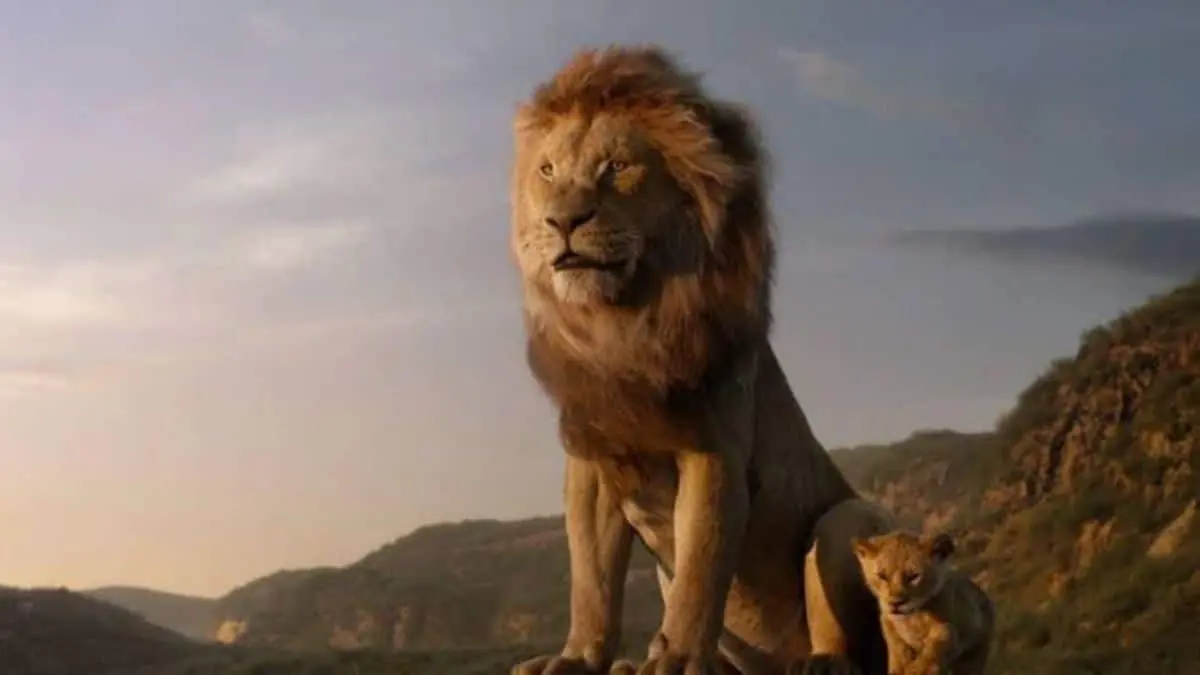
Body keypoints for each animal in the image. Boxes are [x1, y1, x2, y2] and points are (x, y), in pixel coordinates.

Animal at [508, 45, 897, 675]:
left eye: (616, 166)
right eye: (547, 172)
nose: (562, 221)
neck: (622, 325)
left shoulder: (712, 449)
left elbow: (701, 568)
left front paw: (677, 659)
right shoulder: (593, 461)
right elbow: (592, 581)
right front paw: (577, 658)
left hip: (846, 521)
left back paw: (817, 662)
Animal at [851, 531, 994, 675]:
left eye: (913, 576)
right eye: (882, 576)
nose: (896, 603)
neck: (913, 617)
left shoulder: (966, 625)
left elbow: (941, 638)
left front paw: (916, 669)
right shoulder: (886, 619)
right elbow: (897, 645)